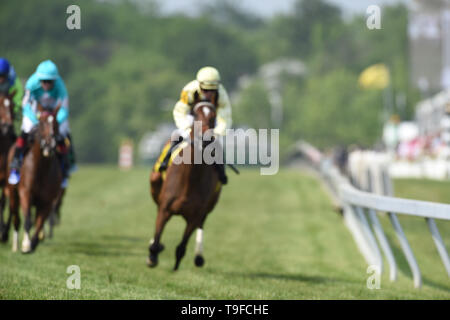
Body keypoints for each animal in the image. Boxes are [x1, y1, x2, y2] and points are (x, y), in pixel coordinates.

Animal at [6, 102, 62, 252]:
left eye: (56, 124)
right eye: (41, 123)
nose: (49, 144)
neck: (41, 169)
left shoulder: (47, 200)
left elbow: (40, 222)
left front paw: (34, 242)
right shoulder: (25, 192)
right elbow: (28, 221)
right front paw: (26, 244)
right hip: (12, 193)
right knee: (16, 218)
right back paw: (14, 244)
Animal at [149, 100, 223, 270]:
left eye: (214, 116)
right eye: (195, 114)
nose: (205, 138)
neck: (190, 179)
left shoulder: (195, 216)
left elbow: (182, 247)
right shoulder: (165, 208)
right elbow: (157, 238)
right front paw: (153, 255)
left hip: (210, 205)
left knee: (202, 223)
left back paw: (199, 256)